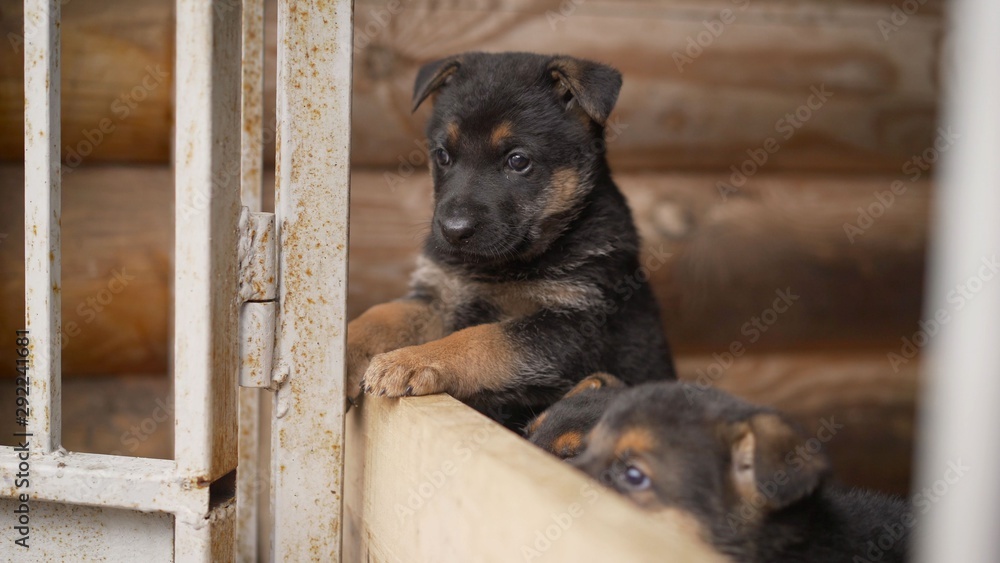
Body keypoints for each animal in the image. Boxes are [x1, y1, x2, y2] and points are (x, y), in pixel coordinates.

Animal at [346, 53, 680, 424]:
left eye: (518, 161)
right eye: (443, 156)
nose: (453, 231)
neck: (502, 266)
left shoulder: (575, 325)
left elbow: (484, 337)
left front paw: (411, 360)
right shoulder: (440, 296)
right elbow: (382, 314)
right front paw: (340, 345)